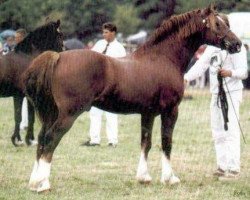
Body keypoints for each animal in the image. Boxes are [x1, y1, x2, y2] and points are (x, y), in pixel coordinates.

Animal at [24, 5, 241, 192]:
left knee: (42, 138)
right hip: (68, 115)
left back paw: (34, 182)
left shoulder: (148, 113)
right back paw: (43, 184)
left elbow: (146, 142)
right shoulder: (170, 111)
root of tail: (58, 57)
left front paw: (143, 177)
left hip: (52, 113)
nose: (238, 44)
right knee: (51, 139)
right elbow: (166, 142)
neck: (163, 59)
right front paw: (170, 178)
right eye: (217, 24)